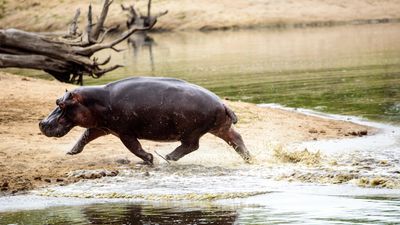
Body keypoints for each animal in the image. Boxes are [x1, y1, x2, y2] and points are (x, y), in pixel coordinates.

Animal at [39, 76, 252, 164]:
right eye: (57, 101)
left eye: (61, 104)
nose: (41, 123)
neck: (95, 101)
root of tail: (222, 103)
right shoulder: (102, 127)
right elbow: (85, 136)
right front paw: (71, 152)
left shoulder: (124, 132)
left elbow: (134, 147)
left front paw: (149, 159)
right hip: (220, 128)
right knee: (237, 139)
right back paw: (249, 158)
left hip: (192, 132)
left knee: (191, 146)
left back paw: (167, 157)